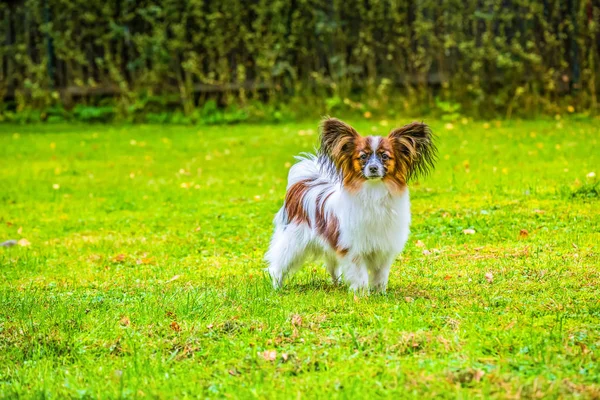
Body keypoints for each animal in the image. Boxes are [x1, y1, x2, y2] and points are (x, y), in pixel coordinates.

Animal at [264, 117, 436, 292]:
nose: (373, 168)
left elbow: (380, 275)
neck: (374, 192)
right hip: (293, 242)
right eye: (363, 156)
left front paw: (379, 293)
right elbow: (360, 275)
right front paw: (361, 294)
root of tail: (304, 185)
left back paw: (337, 283)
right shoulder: (353, 248)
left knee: (333, 267)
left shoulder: (384, 247)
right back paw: (276, 288)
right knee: (278, 266)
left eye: (384, 156)